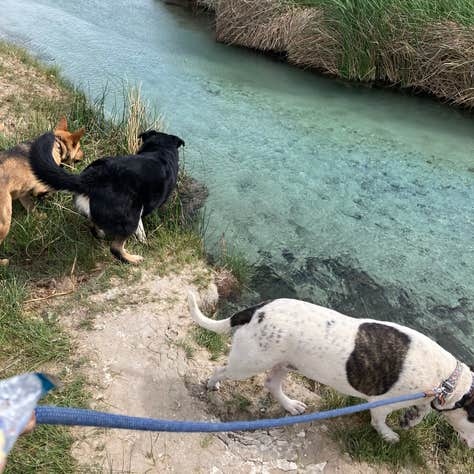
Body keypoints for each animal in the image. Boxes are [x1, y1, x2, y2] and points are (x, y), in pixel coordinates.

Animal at [0, 116, 84, 264]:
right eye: (78, 146)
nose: (84, 155)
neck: (58, 142)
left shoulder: (23, 193)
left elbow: (31, 207)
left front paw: (39, 216)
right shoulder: (40, 187)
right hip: (4, 221)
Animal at [29, 130, 184, 262]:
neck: (159, 149)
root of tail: (94, 176)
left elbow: (140, 229)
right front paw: (144, 242)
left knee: (93, 226)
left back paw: (102, 234)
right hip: (129, 217)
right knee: (115, 248)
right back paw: (132, 259)